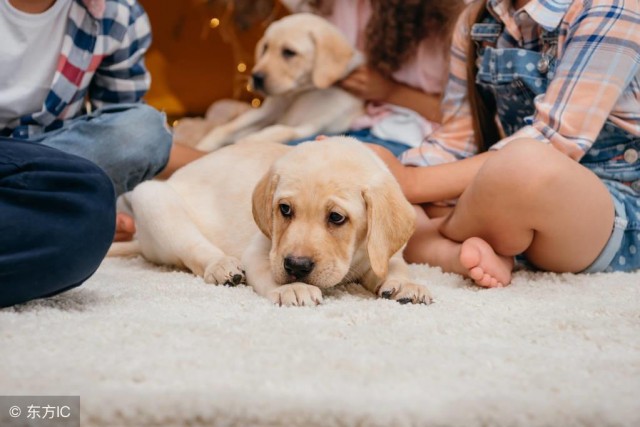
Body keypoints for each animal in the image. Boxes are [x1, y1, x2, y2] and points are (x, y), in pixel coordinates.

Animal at [110, 138, 432, 308]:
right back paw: (223, 266)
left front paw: (406, 284)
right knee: (194, 249)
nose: (297, 267)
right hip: (152, 198)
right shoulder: (262, 249)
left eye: (337, 217)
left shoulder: (383, 251)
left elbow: (394, 267)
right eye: (285, 209)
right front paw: (293, 288)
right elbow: (268, 270)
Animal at [195, 12, 364, 152]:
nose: (256, 77)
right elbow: (228, 127)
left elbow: (281, 129)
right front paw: (205, 145)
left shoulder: (313, 126)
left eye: (289, 52)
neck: (297, 94)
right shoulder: (266, 112)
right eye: (265, 47)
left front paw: (247, 141)